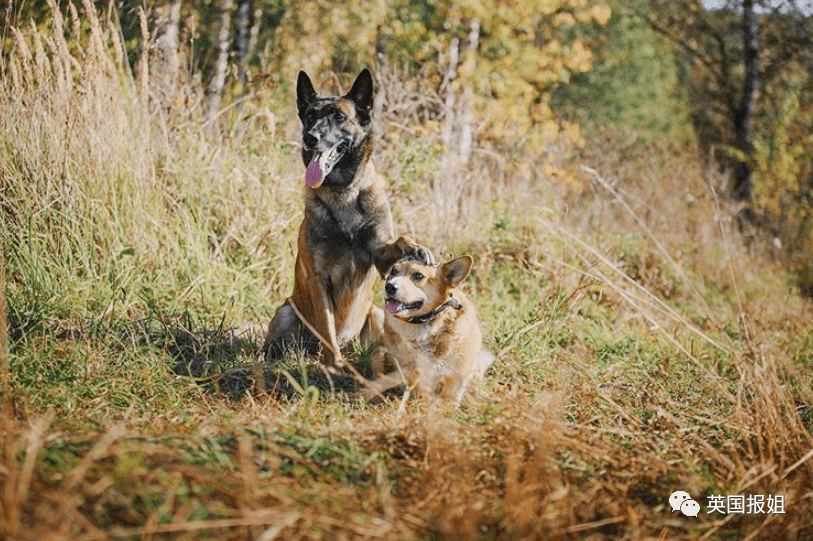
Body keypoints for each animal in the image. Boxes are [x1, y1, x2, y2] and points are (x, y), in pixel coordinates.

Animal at [264, 69, 432, 368]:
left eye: (339, 117)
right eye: (310, 115)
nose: (310, 137)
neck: (343, 192)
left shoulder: (379, 254)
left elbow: (398, 240)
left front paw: (416, 247)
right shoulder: (318, 278)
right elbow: (327, 327)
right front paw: (334, 364)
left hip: (376, 314)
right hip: (287, 311)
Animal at [364, 252, 494, 400]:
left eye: (418, 276)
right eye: (393, 272)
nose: (389, 287)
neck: (425, 325)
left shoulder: (456, 377)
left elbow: (450, 397)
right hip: (379, 353)